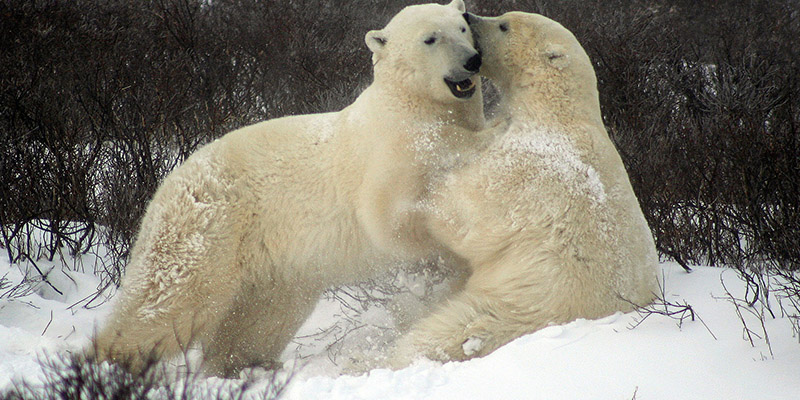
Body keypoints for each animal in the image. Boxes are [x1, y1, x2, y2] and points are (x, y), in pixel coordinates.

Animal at [91, 0, 484, 376]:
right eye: (430, 38)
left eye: (462, 27)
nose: (472, 60)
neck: (411, 105)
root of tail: (166, 184)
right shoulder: (390, 151)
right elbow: (390, 219)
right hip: (208, 228)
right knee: (169, 301)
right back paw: (110, 363)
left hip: (273, 266)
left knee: (261, 319)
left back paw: (243, 364)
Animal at [390, 10, 660, 368]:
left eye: (504, 24)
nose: (468, 15)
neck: (556, 111)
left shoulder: (528, 167)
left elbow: (468, 213)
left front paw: (425, 191)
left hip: (516, 305)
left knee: (446, 332)